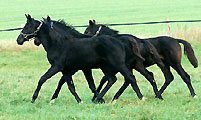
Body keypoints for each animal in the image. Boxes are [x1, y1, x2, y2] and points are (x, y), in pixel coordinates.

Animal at [16, 14, 144, 103]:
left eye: (27, 26)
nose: (19, 40)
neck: (57, 43)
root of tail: (120, 41)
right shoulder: (67, 70)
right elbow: (70, 86)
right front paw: (80, 101)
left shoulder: (57, 67)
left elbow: (42, 79)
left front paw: (34, 98)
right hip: (108, 67)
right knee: (113, 79)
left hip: (119, 65)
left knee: (130, 78)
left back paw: (141, 98)